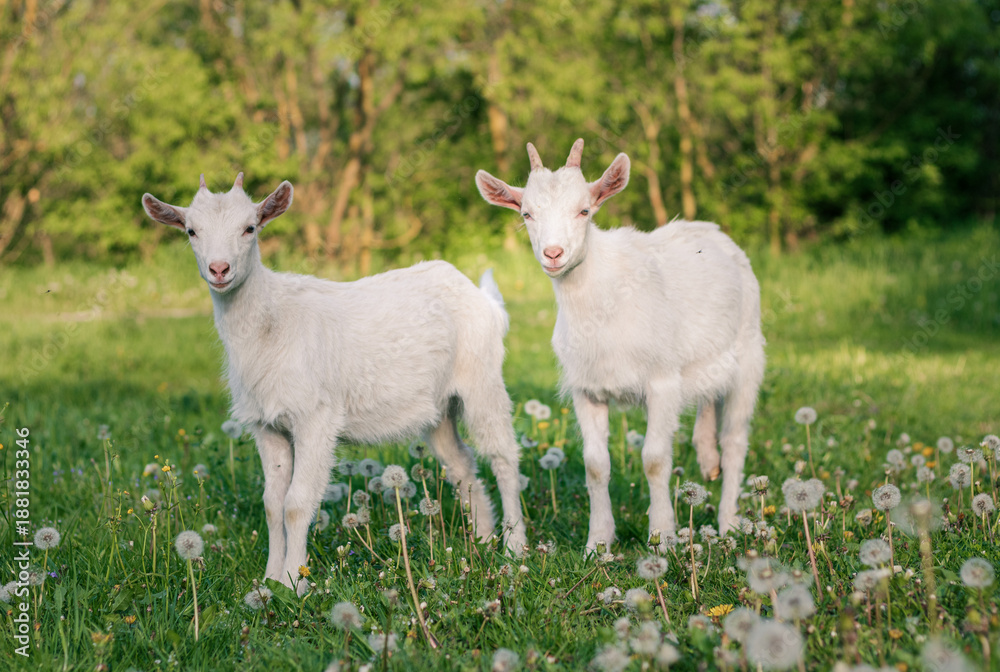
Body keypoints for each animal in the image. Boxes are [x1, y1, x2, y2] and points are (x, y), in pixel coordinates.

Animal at [142, 173, 527, 592]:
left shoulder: (315, 416)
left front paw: (296, 583)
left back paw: (515, 548)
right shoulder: (266, 423)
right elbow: (272, 503)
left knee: (503, 456)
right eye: (191, 231)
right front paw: (270, 581)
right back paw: (483, 539)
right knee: (461, 463)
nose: (219, 269)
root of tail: (483, 298)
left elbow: (296, 503)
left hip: (482, 378)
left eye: (250, 228)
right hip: (439, 407)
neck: (269, 324)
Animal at [476, 140, 765, 550]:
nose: (553, 254)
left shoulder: (662, 381)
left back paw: (729, 523)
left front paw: (663, 536)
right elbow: (595, 465)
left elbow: (655, 459)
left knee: (736, 440)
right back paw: (709, 461)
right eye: (527, 214)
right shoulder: (586, 388)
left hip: (749, 355)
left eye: (584, 210)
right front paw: (598, 545)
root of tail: (712, 231)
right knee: (709, 401)